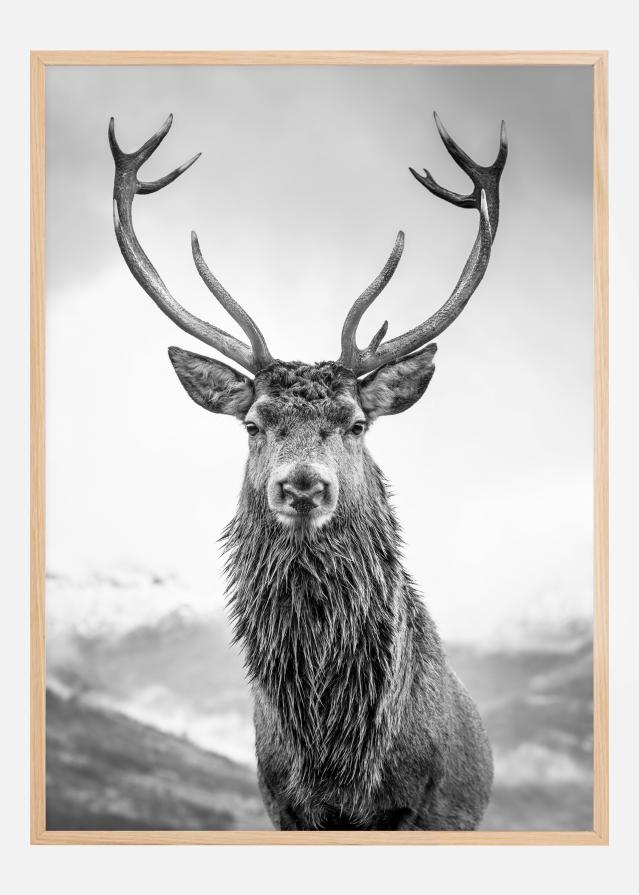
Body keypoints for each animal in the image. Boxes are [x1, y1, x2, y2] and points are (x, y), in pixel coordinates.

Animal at [109, 110, 507, 831]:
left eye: (356, 423)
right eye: (252, 423)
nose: (301, 484)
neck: (335, 760)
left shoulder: (413, 806)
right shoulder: (282, 804)